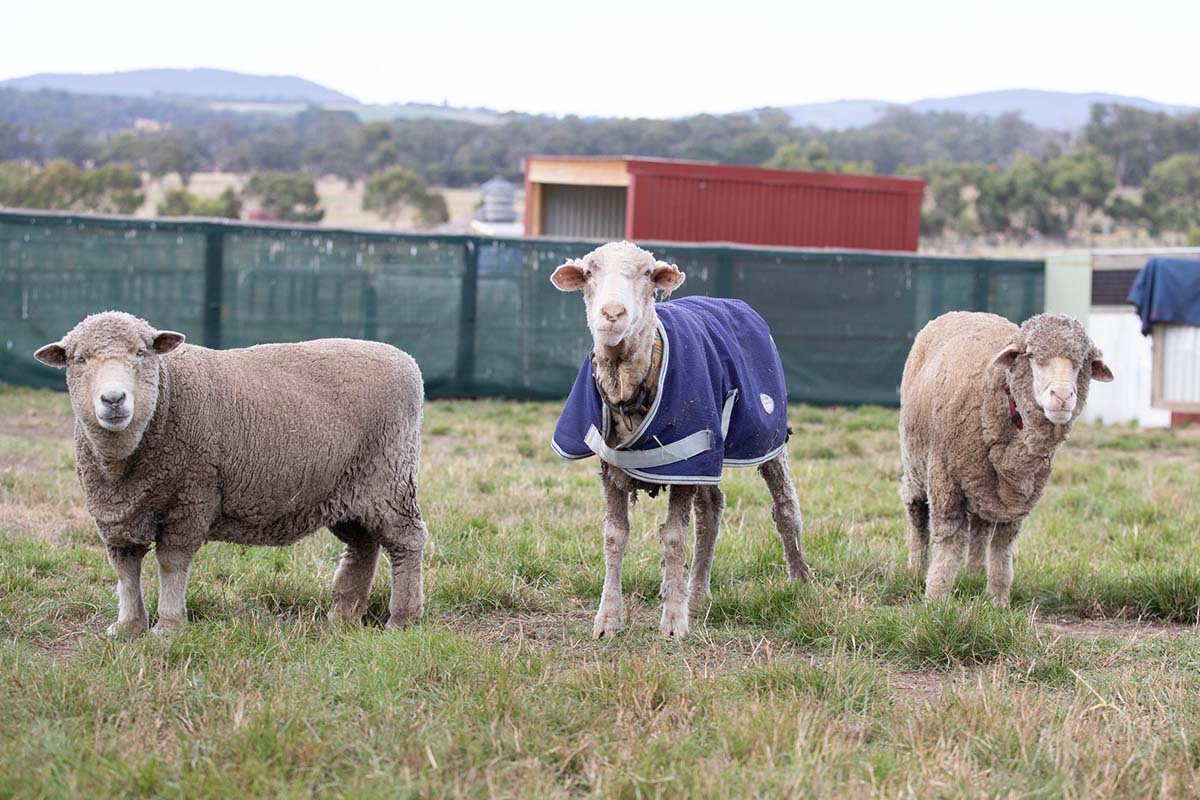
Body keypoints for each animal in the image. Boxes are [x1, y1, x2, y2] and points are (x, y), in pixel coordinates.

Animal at [35, 309, 429, 633]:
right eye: (79, 359)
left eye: (141, 353)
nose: (114, 399)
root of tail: (406, 359)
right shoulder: (115, 514)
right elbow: (125, 569)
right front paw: (129, 626)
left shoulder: (191, 497)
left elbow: (172, 563)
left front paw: (169, 627)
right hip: (347, 489)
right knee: (362, 545)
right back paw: (343, 615)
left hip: (390, 476)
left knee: (407, 541)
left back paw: (402, 618)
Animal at [549, 241, 811, 642]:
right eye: (589, 273)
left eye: (646, 274)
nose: (612, 313)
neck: (629, 387)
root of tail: (729, 302)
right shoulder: (613, 464)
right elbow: (614, 536)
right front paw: (608, 619)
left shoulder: (686, 457)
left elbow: (674, 539)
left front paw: (673, 621)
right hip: (709, 452)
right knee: (712, 510)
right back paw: (698, 592)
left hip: (764, 437)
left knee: (784, 506)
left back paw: (799, 580)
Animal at [902, 311, 1113, 606]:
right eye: (1032, 355)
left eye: (1083, 362)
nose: (1062, 396)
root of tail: (964, 312)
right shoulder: (946, 482)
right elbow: (948, 544)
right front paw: (936, 599)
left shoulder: (1017, 500)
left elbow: (1002, 549)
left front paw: (998, 601)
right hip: (915, 464)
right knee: (917, 514)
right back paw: (916, 567)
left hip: (985, 486)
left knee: (980, 528)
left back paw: (975, 573)